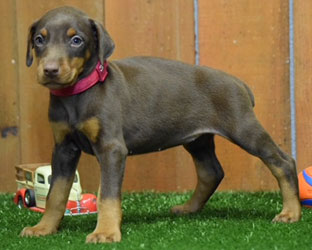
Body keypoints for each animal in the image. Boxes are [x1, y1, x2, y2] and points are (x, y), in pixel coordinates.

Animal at [20, 6, 302, 244]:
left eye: (76, 40)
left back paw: (290, 212)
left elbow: (107, 195)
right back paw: (189, 208)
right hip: (198, 139)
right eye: (39, 40)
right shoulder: (63, 148)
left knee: (282, 162)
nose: (50, 70)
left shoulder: (112, 148)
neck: (77, 95)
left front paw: (106, 232)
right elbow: (56, 193)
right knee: (211, 172)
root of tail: (238, 82)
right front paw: (43, 227)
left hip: (243, 127)